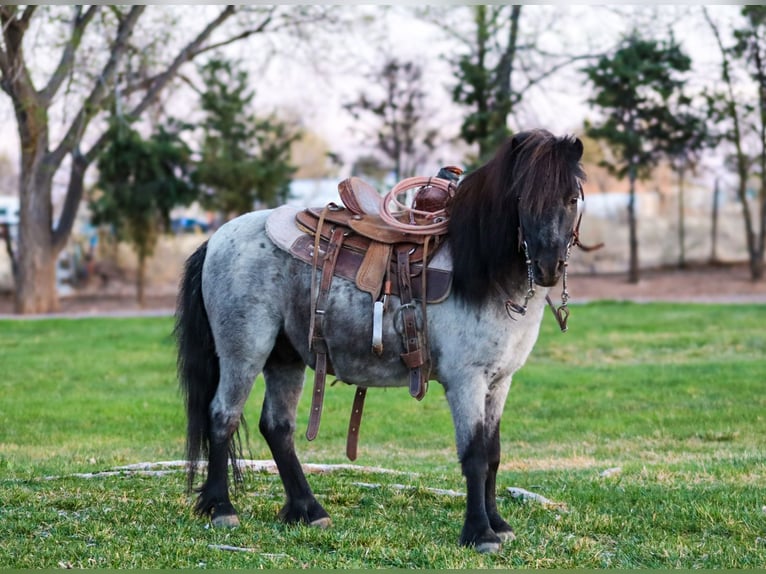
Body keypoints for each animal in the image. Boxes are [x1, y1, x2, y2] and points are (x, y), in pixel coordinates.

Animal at [175, 129, 587, 554]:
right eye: (522, 199)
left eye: (571, 199)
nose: (548, 266)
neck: (482, 274)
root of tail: (217, 238)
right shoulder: (466, 381)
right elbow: (474, 454)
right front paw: (480, 533)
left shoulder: (499, 381)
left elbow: (493, 453)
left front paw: (499, 524)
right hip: (244, 351)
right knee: (222, 416)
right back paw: (222, 508)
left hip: (284, 357)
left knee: (277, 427)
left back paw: (309, 510)